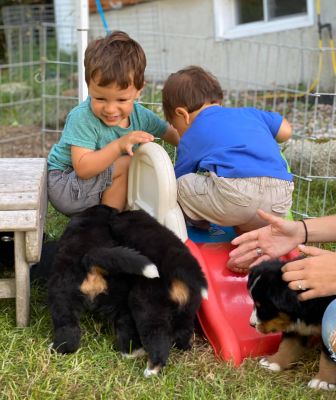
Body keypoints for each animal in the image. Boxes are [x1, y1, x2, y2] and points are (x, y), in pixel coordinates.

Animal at [247, 258, 336, 392]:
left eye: (263, 307)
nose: (251, 324)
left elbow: (328, 357)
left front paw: (323, 381)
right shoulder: (294, 327)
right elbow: (287, 345)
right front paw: (274, 362)